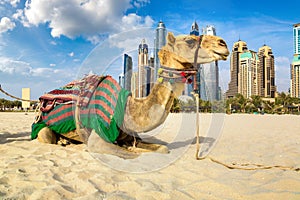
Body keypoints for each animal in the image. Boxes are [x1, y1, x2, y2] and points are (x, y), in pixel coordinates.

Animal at [32, 32, 230, 159]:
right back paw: (60, 142)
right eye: (189, 40)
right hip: (42, 128)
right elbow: (132, 155)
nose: (223, 43)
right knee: (47, 136)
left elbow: (162, 148)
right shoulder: (98, 137)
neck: (128, 108)